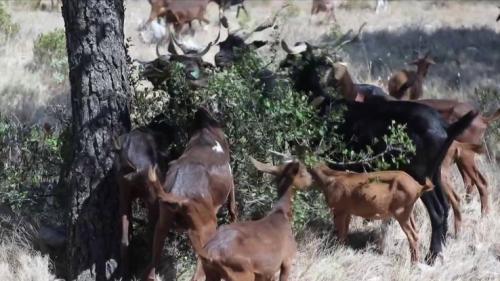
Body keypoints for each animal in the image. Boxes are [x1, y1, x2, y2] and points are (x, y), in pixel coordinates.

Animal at [146, 158, 312, 280]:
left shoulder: (265, 273)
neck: (280, 214)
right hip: (240, 275)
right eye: (303, 172)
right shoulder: (287, 261)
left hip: (213, 273)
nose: (311, 179)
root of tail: (210, 253)